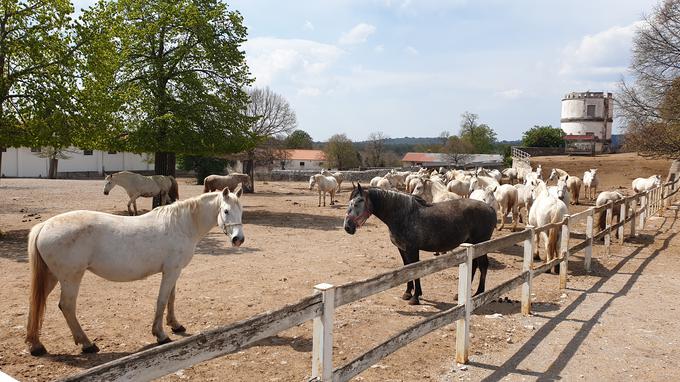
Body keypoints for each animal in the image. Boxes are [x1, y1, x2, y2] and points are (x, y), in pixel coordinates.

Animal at [25, 185, 246, 356]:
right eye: (226, 211)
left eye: (241, 211)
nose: (238, 239)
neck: (181, 225)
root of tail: (44, 225)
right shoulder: (171, 271)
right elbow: (162, 300)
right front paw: (161, 335)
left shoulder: (174, 271)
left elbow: (171, 299)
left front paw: (175, 325)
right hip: (71, 278)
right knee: (67, 307)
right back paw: (87, 344)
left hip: (51, 277)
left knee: (37, 303)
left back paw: (36, 345)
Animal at [346, 184, 494, 306]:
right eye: (349, 202)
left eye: (359, 201)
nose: (347, 227)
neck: (404, 215)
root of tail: (490, 208)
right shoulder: (402, 249)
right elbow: (407, 269)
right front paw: (408, 293)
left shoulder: (412, 249)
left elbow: (414, 270)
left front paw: (415, 297)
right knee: (474, 265)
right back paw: (462, 294)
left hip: (481, 244)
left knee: (483, 265)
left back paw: (479, 293)